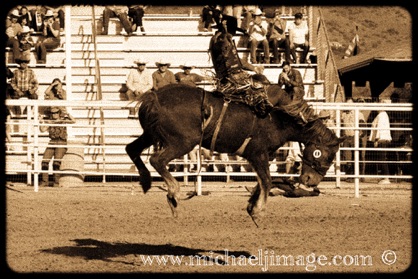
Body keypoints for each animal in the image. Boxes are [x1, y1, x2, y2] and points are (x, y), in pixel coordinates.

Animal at [125, 84, 344, 226]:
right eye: (327, 155)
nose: (311, 181)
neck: (278, 117)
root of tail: (154, 98)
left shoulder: (259, 156)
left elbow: (263, 182)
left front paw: (251, 206)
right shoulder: (257, 153)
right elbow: (267, 180)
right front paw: (258, 212)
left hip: (151, 135)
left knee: (131, 149)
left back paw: (146, 180)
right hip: (183, 141)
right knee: (157, 159)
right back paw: (173, 192)